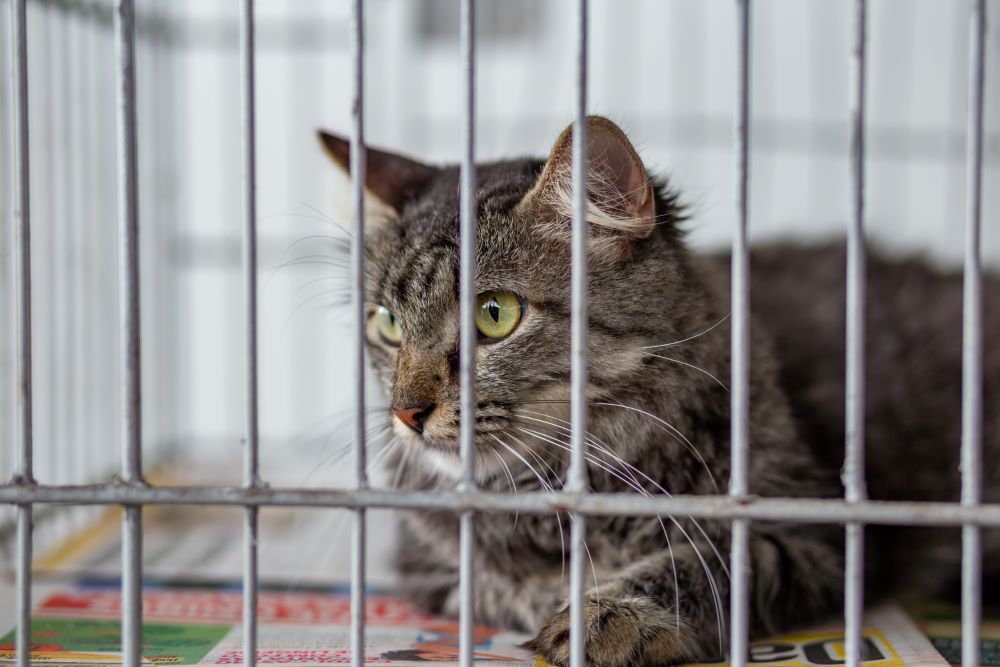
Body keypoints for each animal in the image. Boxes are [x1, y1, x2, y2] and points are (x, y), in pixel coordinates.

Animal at [316, 117, 996, 664]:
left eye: (494, 315)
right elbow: (492, 582)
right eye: (388, 324)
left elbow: (706, 563)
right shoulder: (429, 569)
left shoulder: (815, 531)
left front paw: (610, 615)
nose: (407, 413)